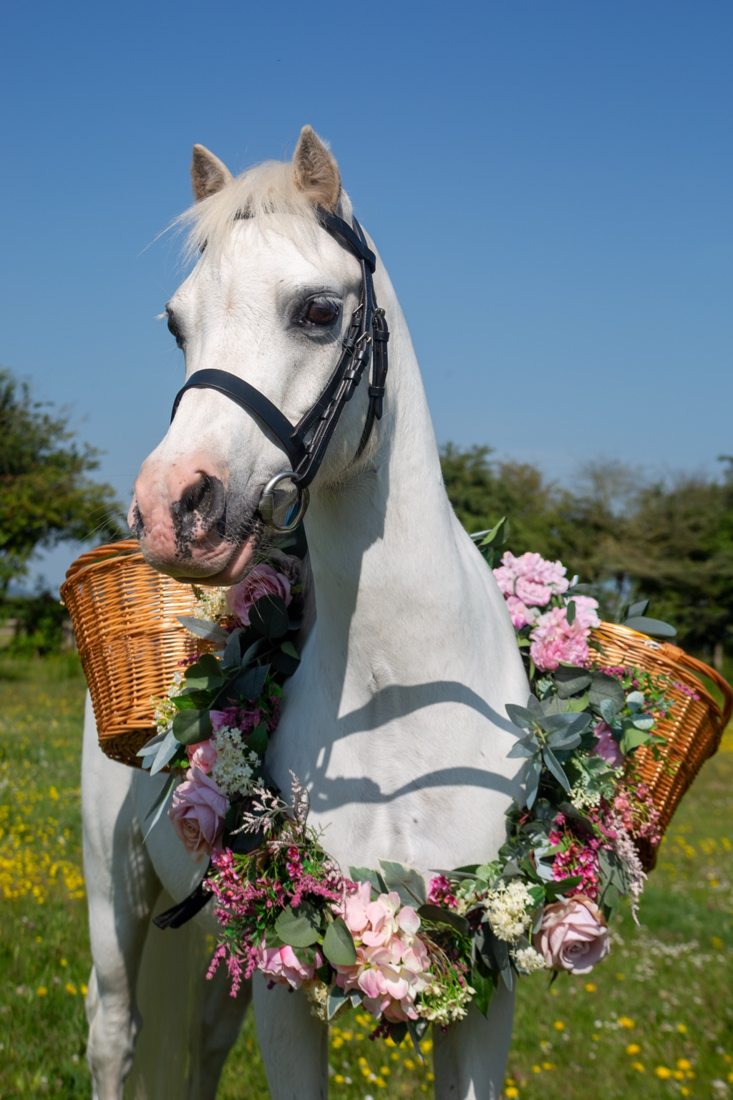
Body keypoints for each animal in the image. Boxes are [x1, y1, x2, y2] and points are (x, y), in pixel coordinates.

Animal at [82, 125, 529, 1099]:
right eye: (175, 324)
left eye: (319, 312)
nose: (172, 507)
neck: (399, 701)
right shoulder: (288, 982)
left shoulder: (487, 988)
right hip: (113, 900)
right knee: (114, 1037)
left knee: (199, 1050)